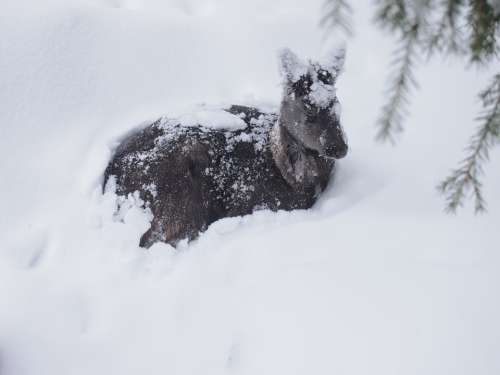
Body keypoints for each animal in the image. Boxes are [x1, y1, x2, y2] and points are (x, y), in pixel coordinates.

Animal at [104, 48, 350, 248]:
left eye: (337, 105)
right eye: (308, 112)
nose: (339, 147)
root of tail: (111, 178)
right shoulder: (257, 199)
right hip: (177, 193)